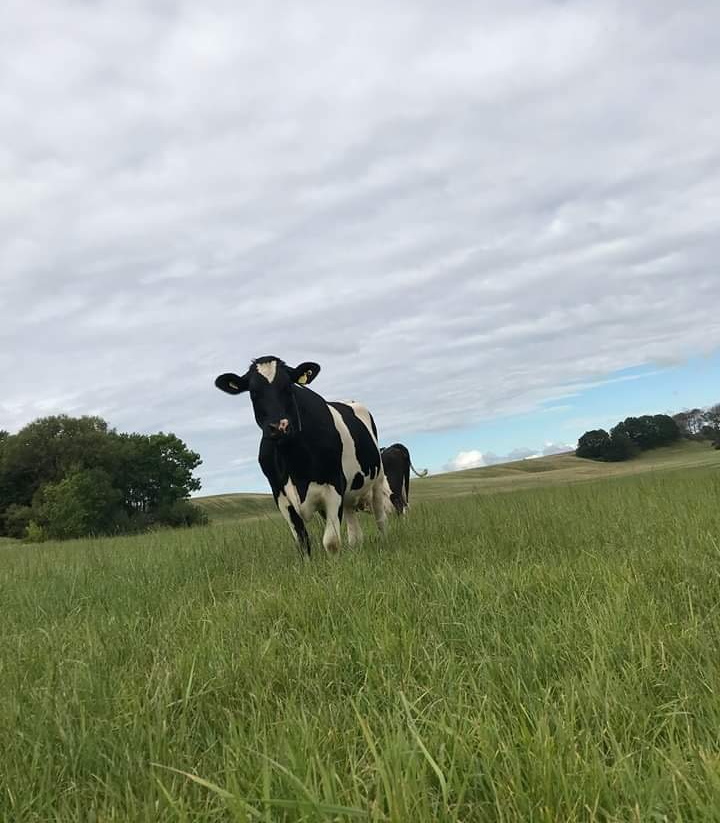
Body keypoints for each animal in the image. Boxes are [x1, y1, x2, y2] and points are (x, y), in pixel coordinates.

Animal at [214, 356, 389, 556]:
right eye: (253, 393)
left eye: (289, 387)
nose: (279, 426)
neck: (293, 459)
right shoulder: (280, 495)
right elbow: (302, 542)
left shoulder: (334, 484)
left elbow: (331, 541)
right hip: (350, 493)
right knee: (354, 528)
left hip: (378, 479)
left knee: (380, 517)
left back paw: (384, 542)